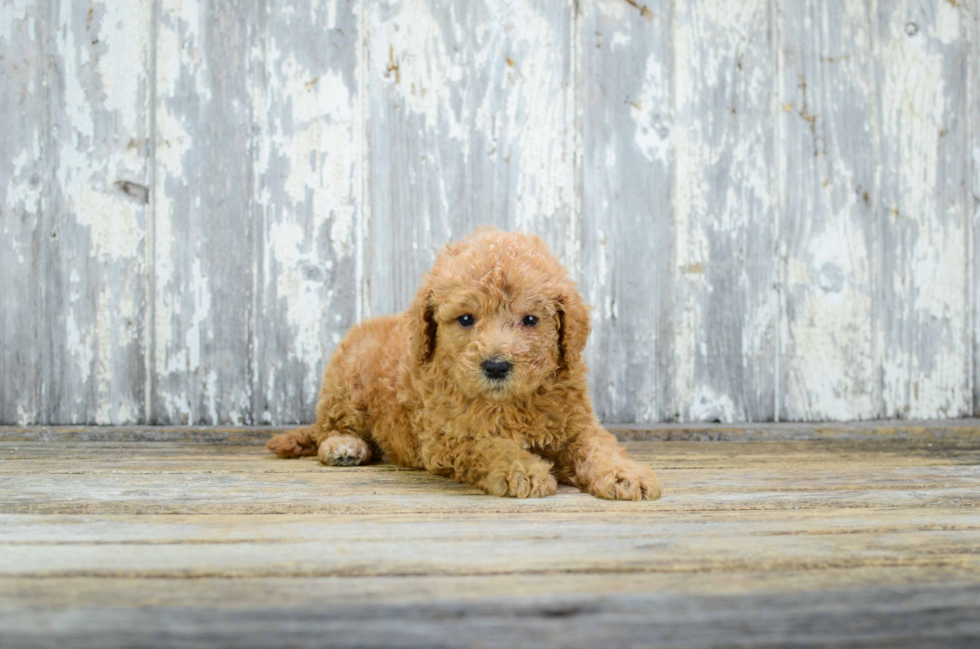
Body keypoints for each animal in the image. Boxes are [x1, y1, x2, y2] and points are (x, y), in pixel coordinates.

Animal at [268, 228, 664, 502]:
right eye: (465, 319)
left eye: (530, 320)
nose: (496, 366)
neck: (509, 402)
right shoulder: (451, 438)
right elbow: (493, 447)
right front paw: (524, 471)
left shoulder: (575, 423)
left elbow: (598, 446)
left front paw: (625, 475)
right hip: (346, 380)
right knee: (329, 427)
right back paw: (344, 447)